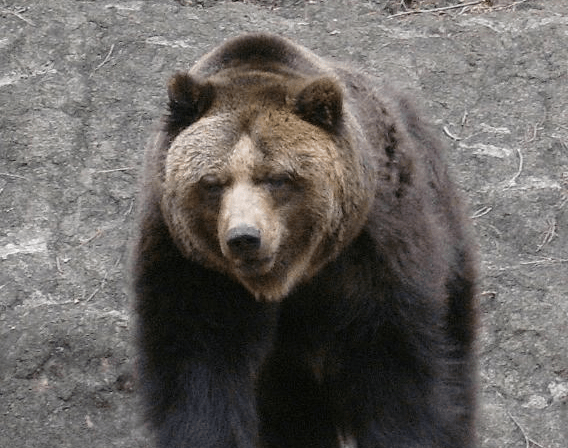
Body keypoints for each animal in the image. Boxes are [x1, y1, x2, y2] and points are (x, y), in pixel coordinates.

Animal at [131, 32, 478, 448]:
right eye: (213, 182)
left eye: (277, 178)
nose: (244, 238)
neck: (286, 279)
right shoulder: (191, 266)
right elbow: (199, 365)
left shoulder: (372, 252)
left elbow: (396, 370)